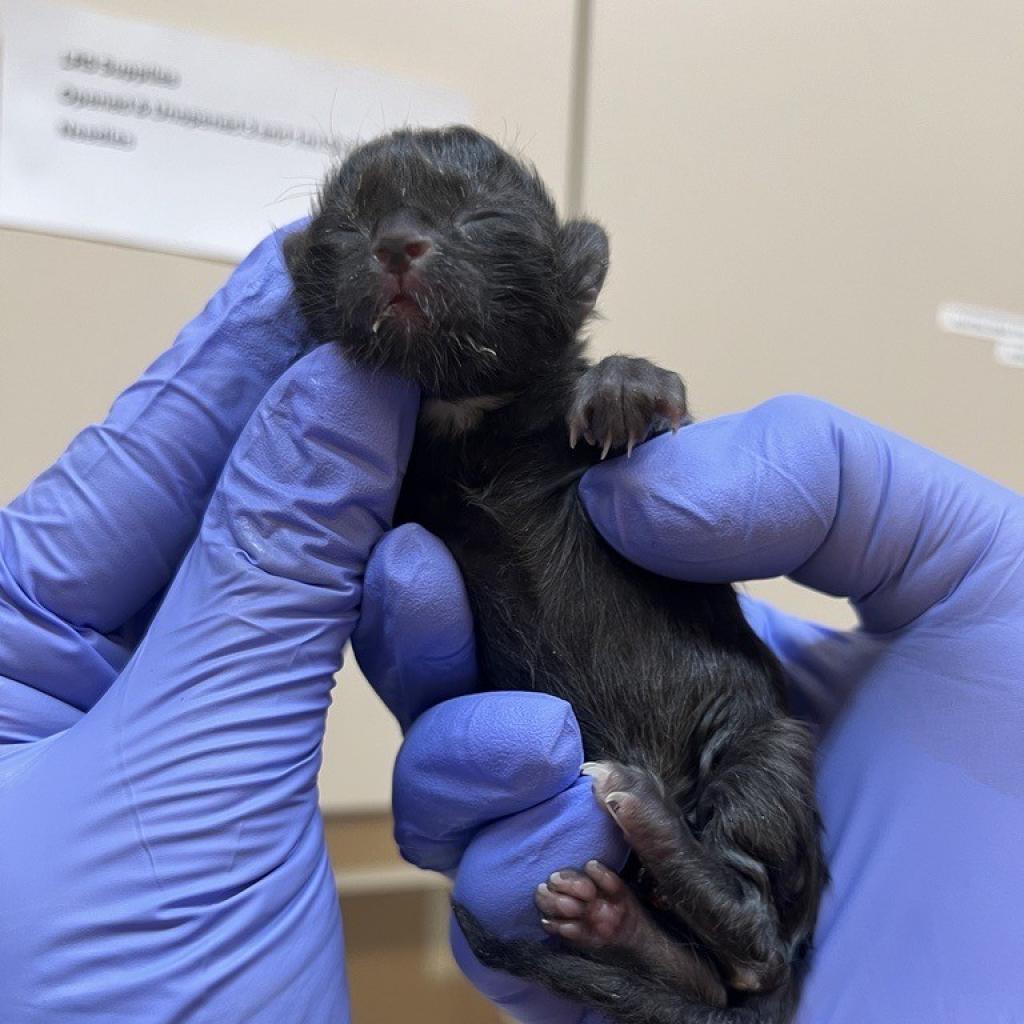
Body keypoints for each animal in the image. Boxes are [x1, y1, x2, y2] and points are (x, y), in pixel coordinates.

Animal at [284, 128, 827, 1024]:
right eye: (350, 223)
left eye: (479, 217)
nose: (396, 242)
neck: (466, 415)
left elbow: (640, 412)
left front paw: (625, 383)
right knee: (720, 969)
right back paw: (613, 917)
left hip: (765, 748)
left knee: (753, 939)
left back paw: (655, 827)